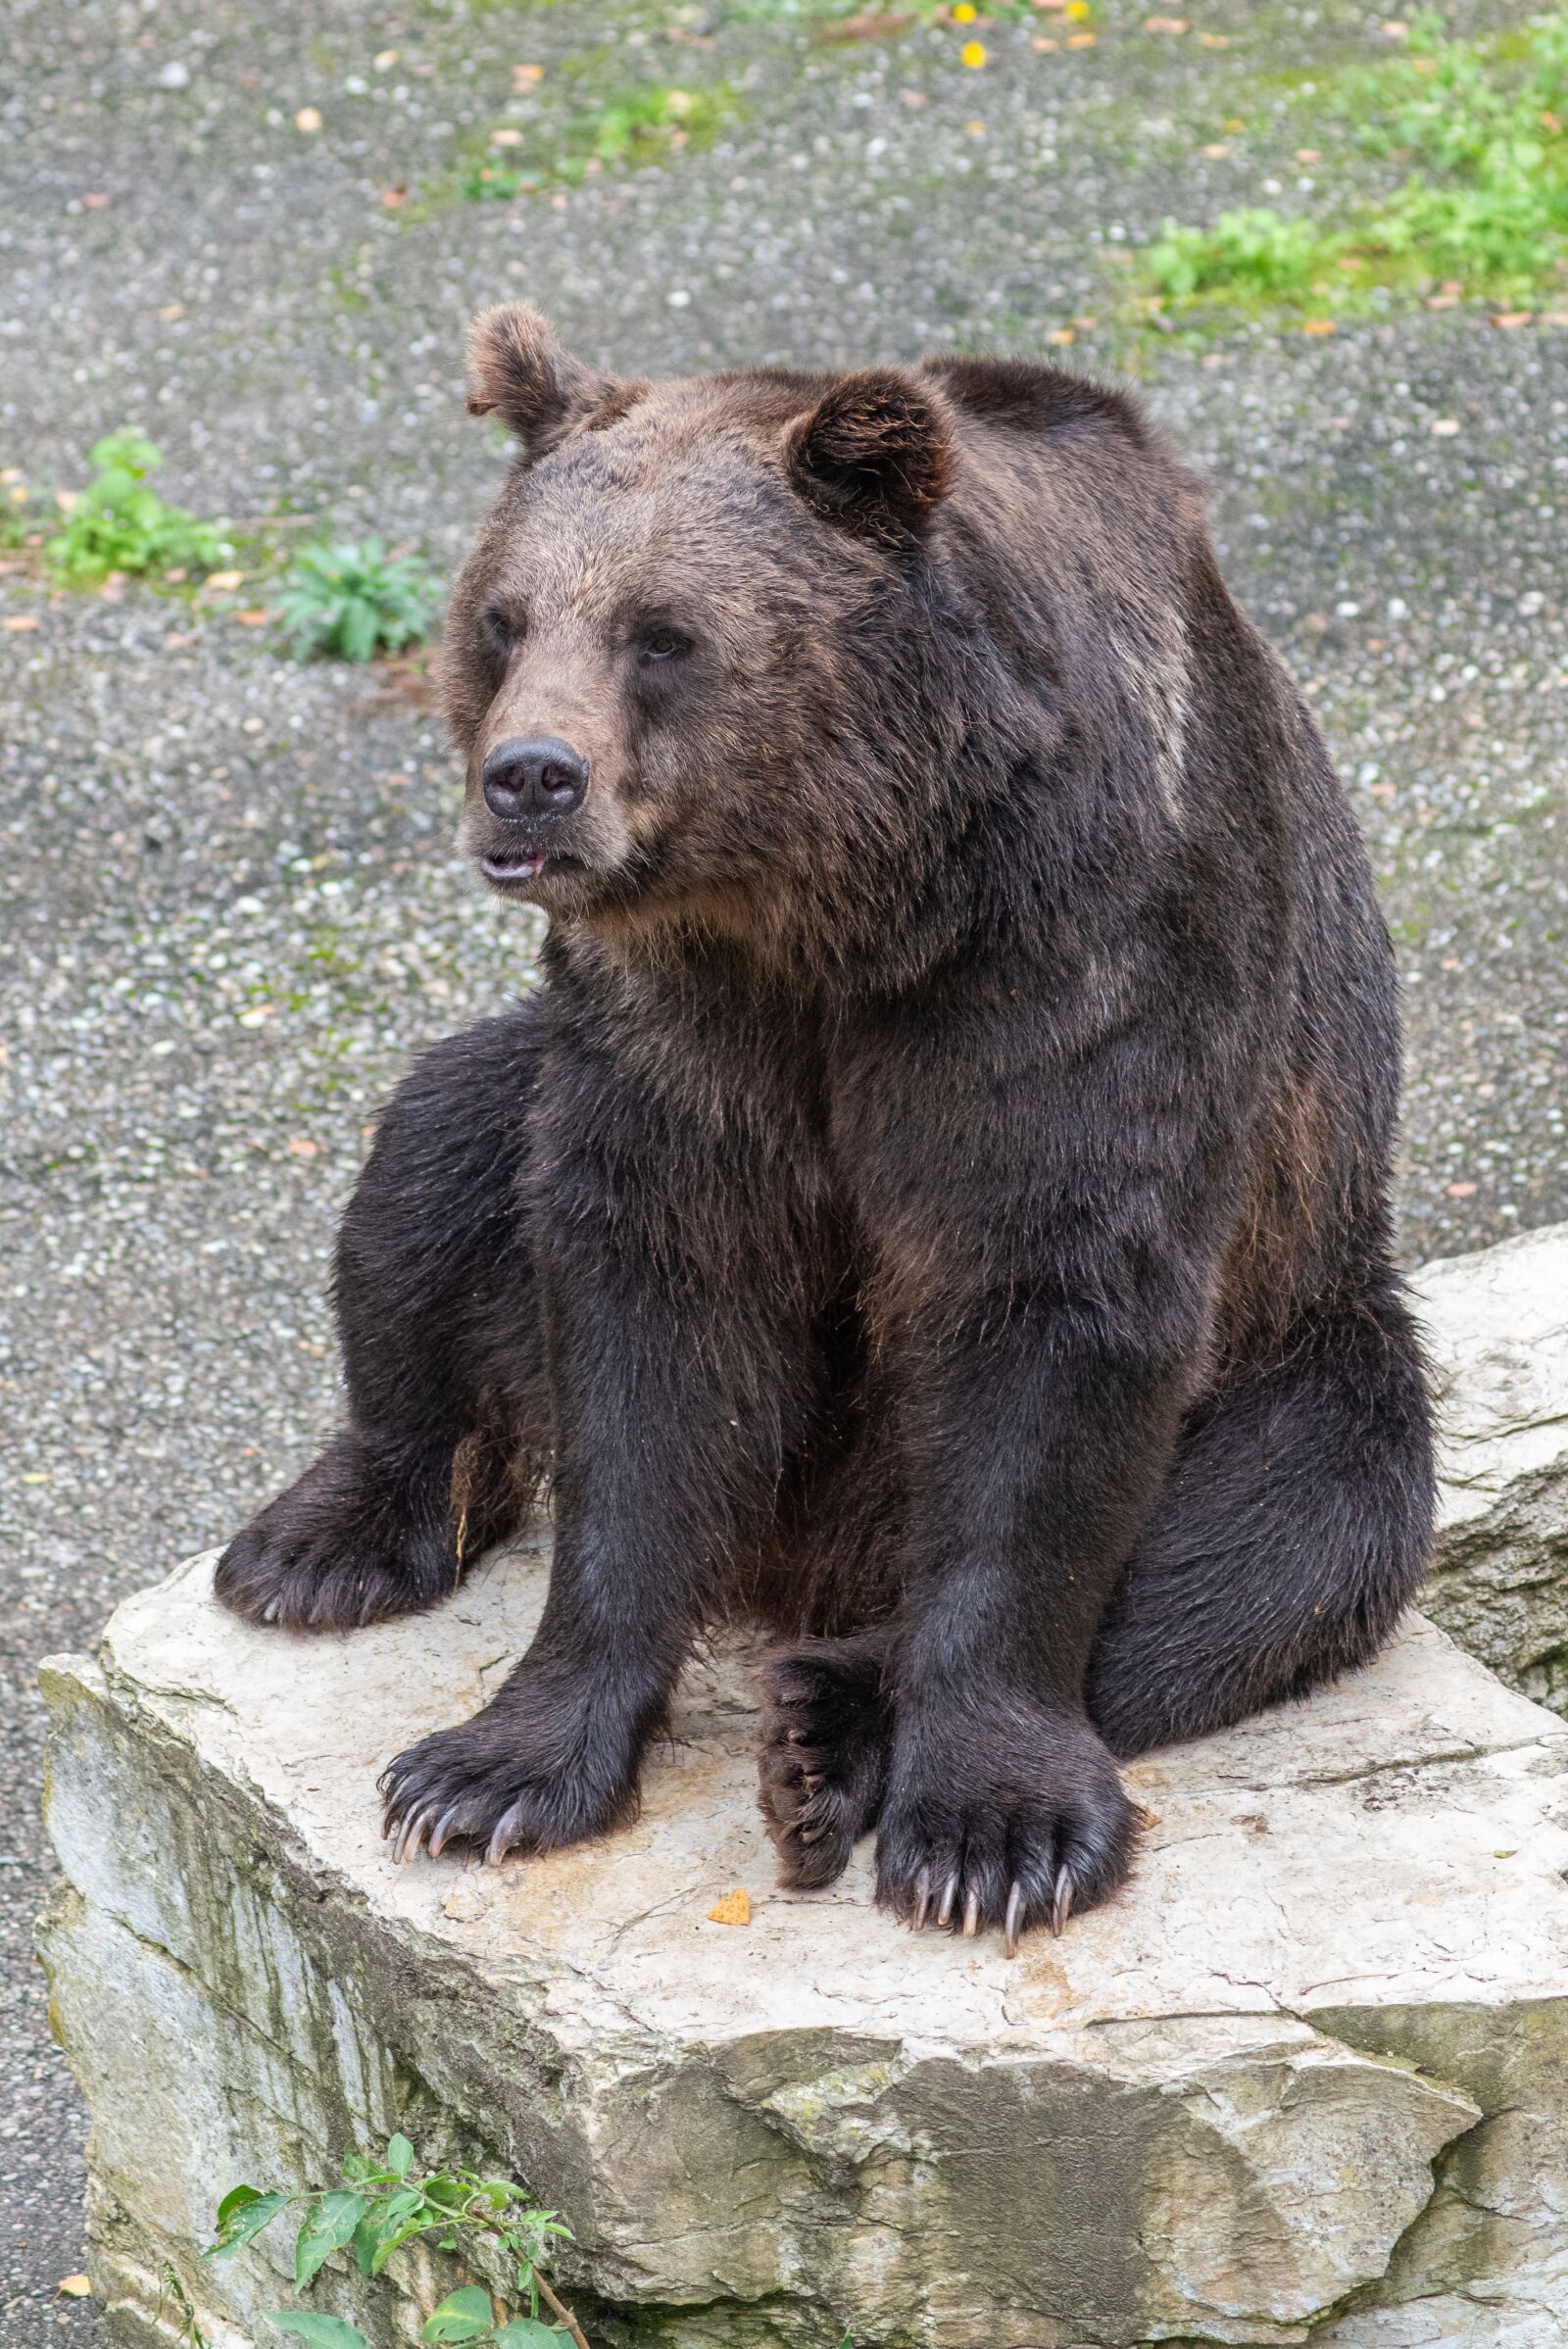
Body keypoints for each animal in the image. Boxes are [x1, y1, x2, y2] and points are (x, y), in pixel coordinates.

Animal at [216, 306, 1436, 1954]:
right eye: (505, 618)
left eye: (664, 633)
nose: (530, 778)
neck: (838, 894)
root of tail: (792, 1575)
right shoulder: (677, 1032)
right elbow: (643, 1321)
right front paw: (488, 1773)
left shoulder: (1081, 958)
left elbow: (1048, 1323)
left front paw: (992, 1833)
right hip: (518, 1083)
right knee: (432, 1161)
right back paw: (316, 1543)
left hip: (1308, 1323)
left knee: (1272, 1540)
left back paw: (823, 1729)